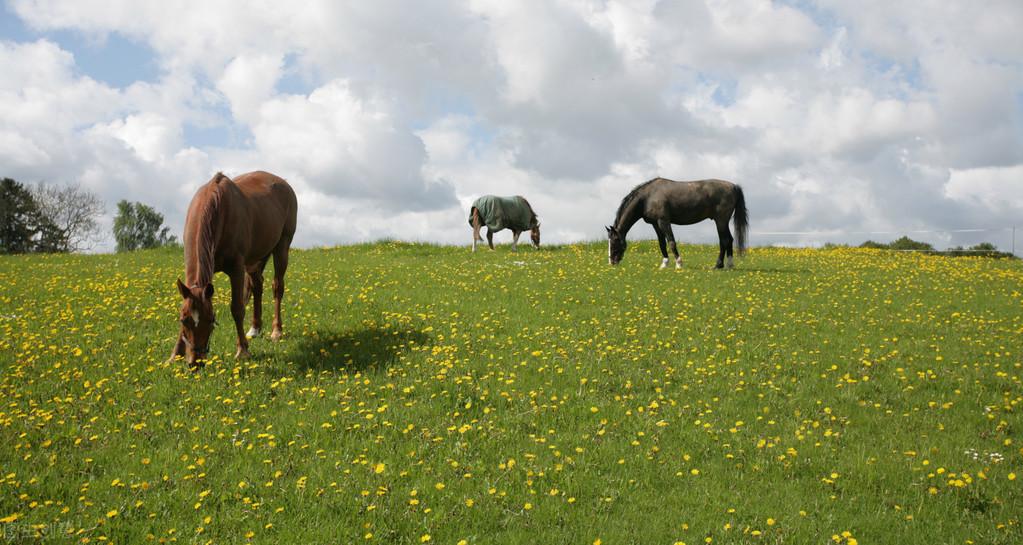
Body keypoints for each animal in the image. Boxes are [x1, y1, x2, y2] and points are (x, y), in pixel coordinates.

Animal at [169, 169, 298, 366]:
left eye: (211, 319)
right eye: (184, 320)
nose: (195, 362)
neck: (217, 208)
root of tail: (285, 184)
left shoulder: (237, 269)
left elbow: (237, 309)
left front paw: (242, 350)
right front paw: (175, 355)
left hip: (281, 247)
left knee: (277, 287)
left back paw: (276, 331)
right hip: (255, 259)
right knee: (257, 285)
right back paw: (255, 329)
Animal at [601, 178, 748, 269]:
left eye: (614, 241)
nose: (611, 262)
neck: (648, 197)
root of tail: (733, 186)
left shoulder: (663, 221)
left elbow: (671, 242)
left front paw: (679, 264)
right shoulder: (655, 224)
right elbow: (662, 244)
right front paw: (664, 264)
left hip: (721, 221)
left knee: (724, 240)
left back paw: (719, 265)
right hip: (722, 222)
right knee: (728, 240)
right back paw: (728, 264)